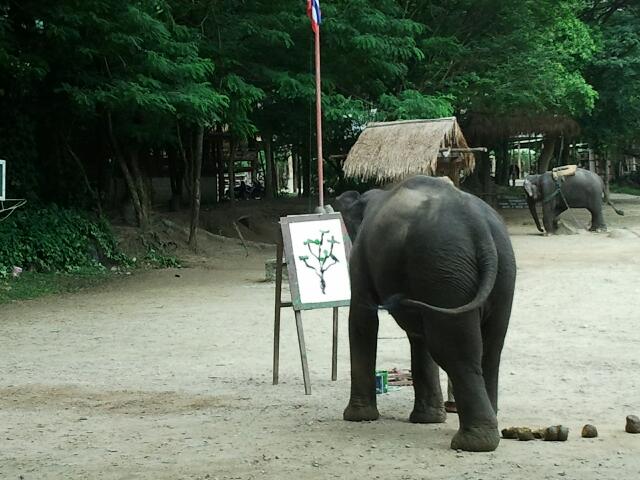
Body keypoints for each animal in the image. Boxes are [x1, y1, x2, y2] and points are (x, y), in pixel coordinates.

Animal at [332, 174, 516, 452]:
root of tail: (479, 228)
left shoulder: (362, 258)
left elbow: (363, 319)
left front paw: (356, 417)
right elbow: (418, 335)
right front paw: (427, 420)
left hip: (445, 273)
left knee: (453, 350)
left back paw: (471, 443)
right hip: (490, 272)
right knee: (491, 348)